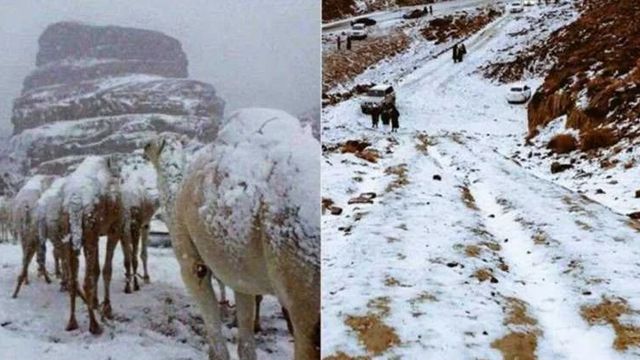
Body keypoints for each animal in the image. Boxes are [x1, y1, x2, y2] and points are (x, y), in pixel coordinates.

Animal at [142, 108, 318, 360]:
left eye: (149, 144)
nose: (141, 149)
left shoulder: (191, 262)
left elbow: (217, 341)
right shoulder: (240, 273)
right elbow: (246, 341)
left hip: (299, 270)